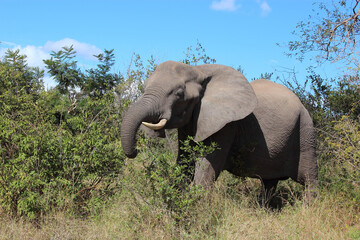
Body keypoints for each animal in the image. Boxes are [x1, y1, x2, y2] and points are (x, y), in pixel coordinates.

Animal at [121, 61, 318, 202]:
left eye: (179, 94)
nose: (135, 151)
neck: (199, 70)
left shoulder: (226, 125)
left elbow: (208, 166)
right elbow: (184, 161)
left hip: (305, 128)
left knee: (308, 178)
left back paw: (308, 208)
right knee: (269, 182)